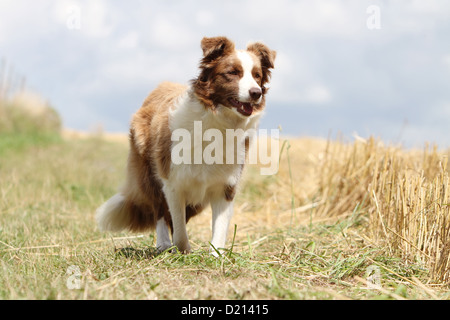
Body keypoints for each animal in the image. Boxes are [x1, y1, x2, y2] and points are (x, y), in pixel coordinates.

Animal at [96, 36, 276, 254]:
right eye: (232, 72)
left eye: (257, 76)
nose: (256, 93)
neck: (218, 123)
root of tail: (161, 85)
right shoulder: (172, 182)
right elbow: (178, 227)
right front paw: (182, 251)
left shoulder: (225, 185)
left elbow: (219, 226)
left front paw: (216, 255)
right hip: (150, 176)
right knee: (160, 212)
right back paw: (163, 244)